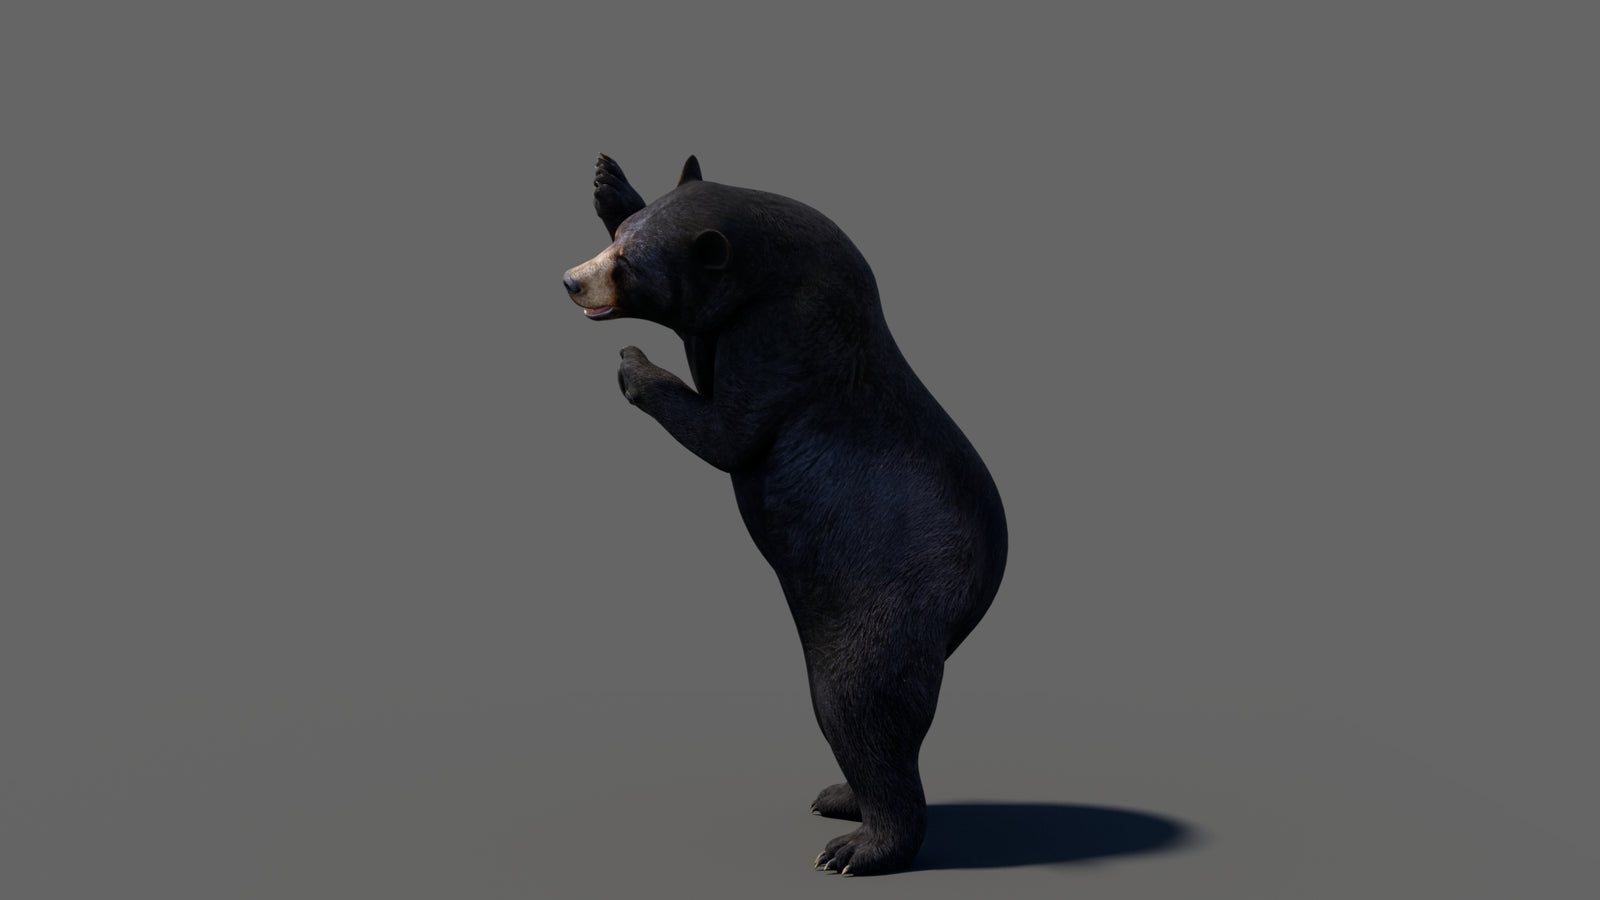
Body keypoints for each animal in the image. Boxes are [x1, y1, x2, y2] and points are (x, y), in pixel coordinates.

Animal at [563, 154, 1007, 875]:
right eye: (618, 242)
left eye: (629, 265)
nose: (571, 280)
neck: (781, 269)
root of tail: (974, 599)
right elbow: (703, 352)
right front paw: (608, 182)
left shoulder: (789, 337)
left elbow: (728, 431)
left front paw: (635, 366)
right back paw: (842, 798)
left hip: (880, 616)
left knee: (861, 711)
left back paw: (861, 846)